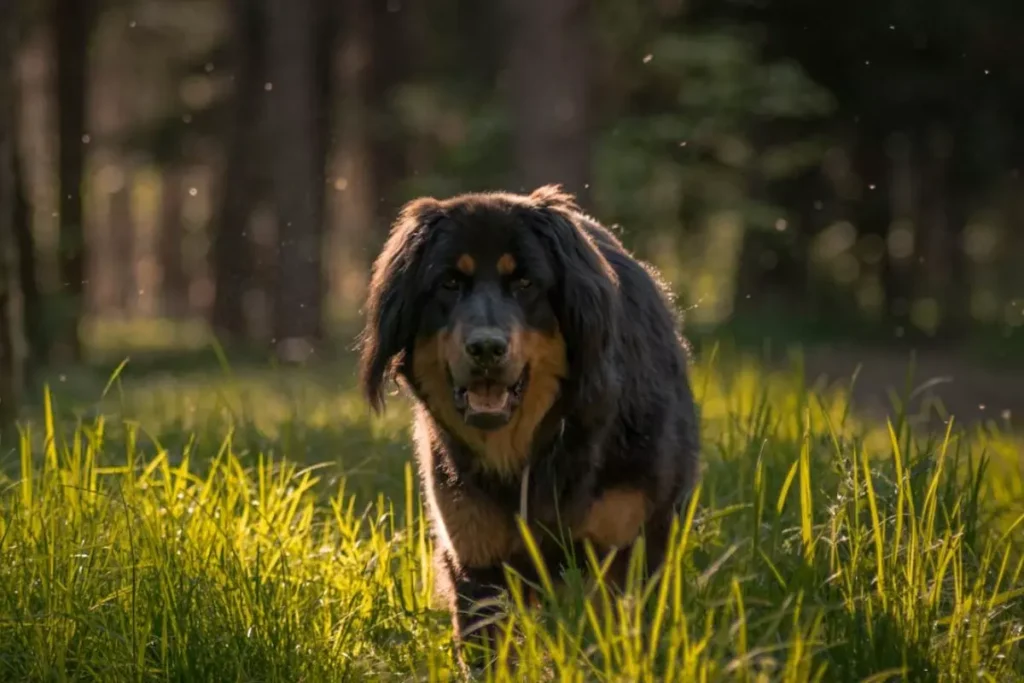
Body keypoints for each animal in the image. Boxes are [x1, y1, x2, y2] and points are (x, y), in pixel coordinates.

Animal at [356, 183, 700, 663]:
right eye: (449, 283)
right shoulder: (476, 557)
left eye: (524, 284)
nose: (486, 347)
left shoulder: (622, 549)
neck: (534, 450)